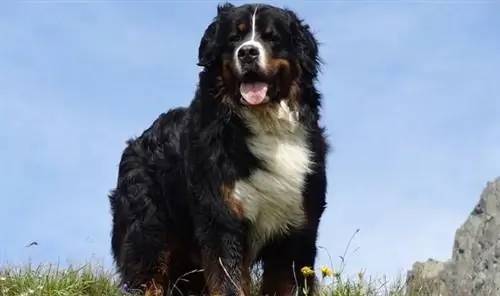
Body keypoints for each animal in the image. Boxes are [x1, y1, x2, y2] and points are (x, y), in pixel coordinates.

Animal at [108, 2, 330, 296]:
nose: (247, 52)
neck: (267, 125)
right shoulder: (222, 219)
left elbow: (286, 281)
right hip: (149, 231)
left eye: (272, 37)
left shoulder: (297, 227)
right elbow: (228, 280)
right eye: (234, 38)